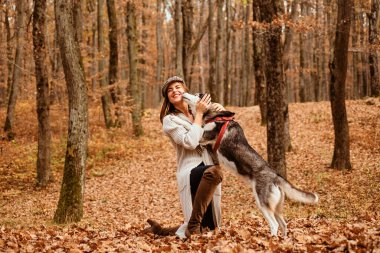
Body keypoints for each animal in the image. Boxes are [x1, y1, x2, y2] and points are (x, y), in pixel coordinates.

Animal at [183, 93, 320, 237]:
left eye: (196, 94)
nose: (184, 93)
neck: (214, 116)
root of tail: (276, 176)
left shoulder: (203, 137)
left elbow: (191, 129)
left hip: (262, 203)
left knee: (274, 224)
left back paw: (271, 239)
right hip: (276, 207)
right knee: (283, 224)